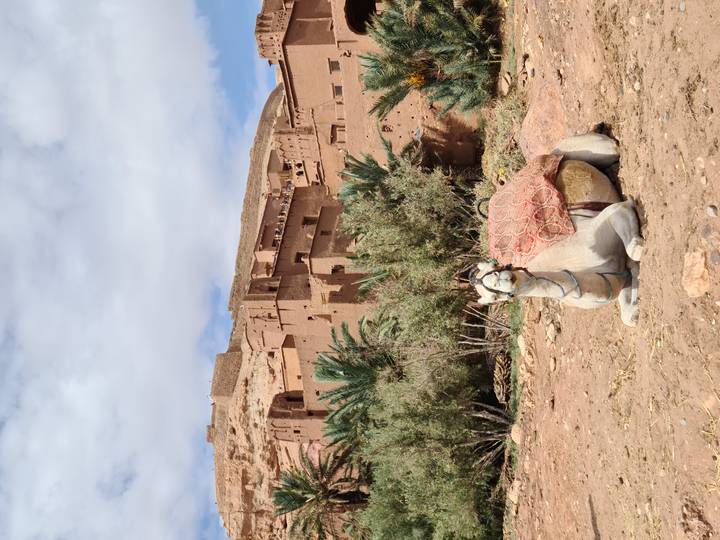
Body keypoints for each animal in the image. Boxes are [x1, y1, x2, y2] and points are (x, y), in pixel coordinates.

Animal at [471, 133, 644, 326]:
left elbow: (635, 249)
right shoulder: (617, 278)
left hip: (600, 149)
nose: (506, 279)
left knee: (613, 148)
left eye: (495, 267)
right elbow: (630, 316)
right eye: (493, 298)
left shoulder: (615, 213)